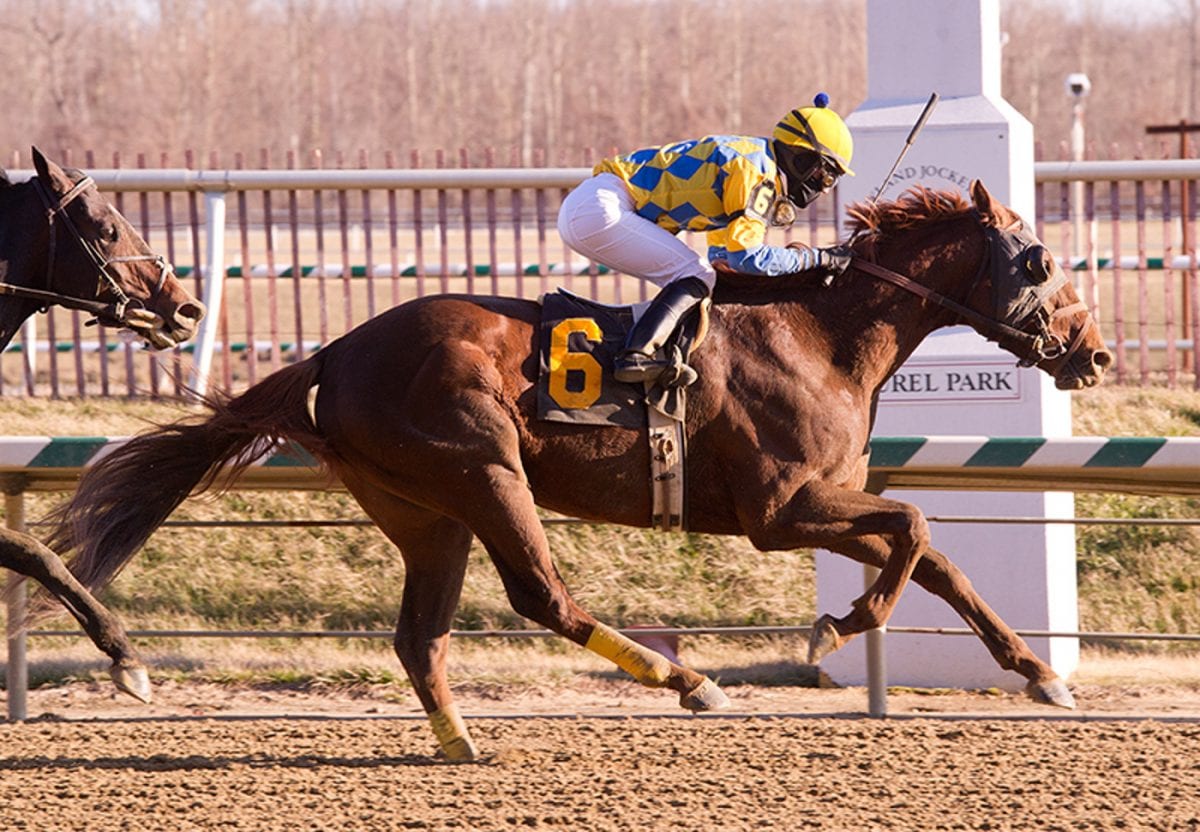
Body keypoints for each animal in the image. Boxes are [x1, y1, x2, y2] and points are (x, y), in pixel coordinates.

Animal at [49, 181, 1113, 758]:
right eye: (1042, 261)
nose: (1095, 353)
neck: (823, 334)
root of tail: (336, 352)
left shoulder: (823, 498)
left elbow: (938, 559)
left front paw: (1039, 676)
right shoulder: (780, 509)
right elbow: (917, 533)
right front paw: (837, 626)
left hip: (423, 509)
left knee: (419, 636)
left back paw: (461, 741)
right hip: (485, 471)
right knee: (541, 597)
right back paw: (688, 683)